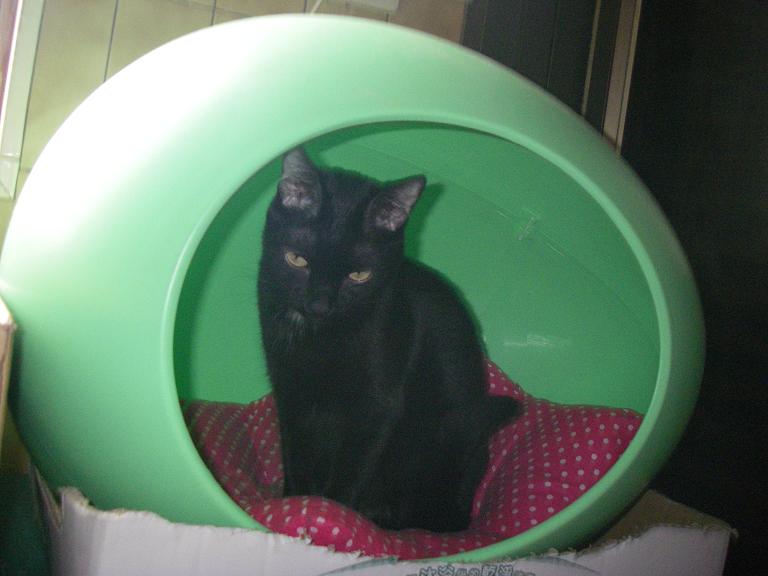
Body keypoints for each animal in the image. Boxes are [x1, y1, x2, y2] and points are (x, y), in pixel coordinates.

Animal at [257, 148, 519, 532]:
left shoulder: (376, 406)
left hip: (440, 439)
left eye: (359, 275)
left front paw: (329, 513)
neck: (320, 335)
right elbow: (295, 450)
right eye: (297, 259)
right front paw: (294, 500)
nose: (320, 305)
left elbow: (351, 467)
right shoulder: (289, 390)